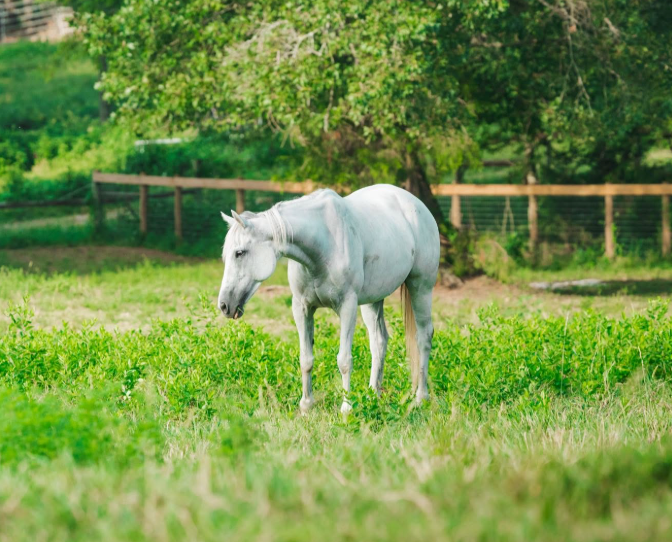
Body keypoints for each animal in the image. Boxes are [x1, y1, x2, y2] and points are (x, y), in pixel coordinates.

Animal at [218, 184, 440, 413]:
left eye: (239, 253)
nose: (224, 305)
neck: (322, 244)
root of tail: (415, 204)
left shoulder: (347, 306)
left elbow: (344, 360)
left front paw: (346, 408)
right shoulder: (302, 307)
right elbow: (306, 358)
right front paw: (306, 405)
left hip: (421, 287)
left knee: (424, 337)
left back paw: (420, 398)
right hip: (373, 300)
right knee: (379, 341)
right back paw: (373, 396)